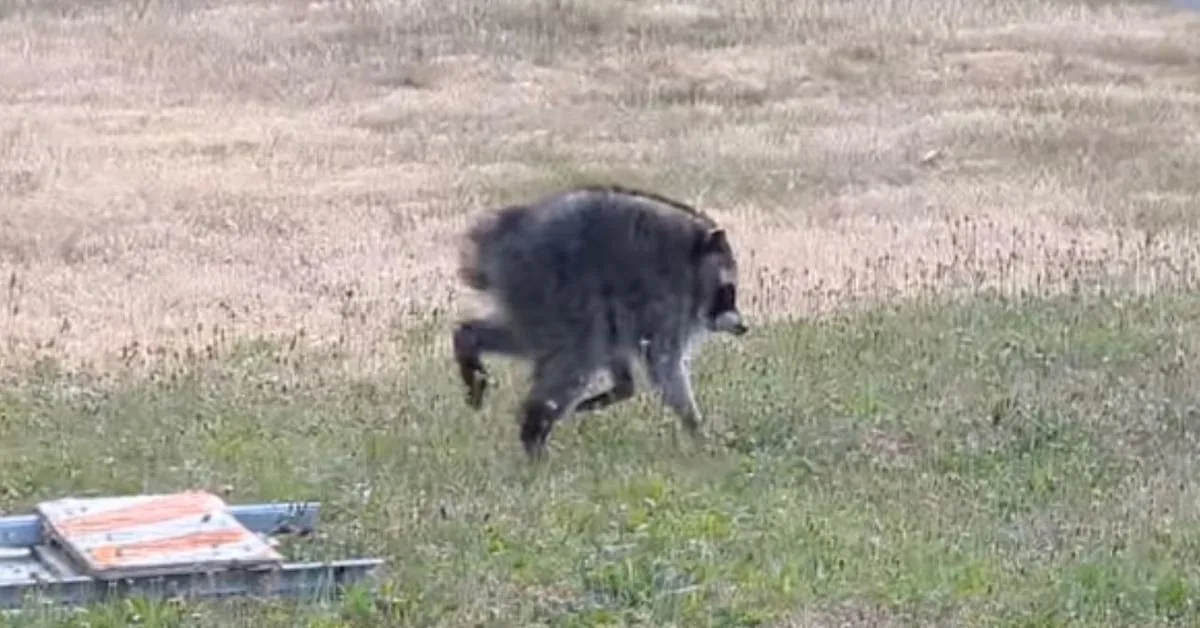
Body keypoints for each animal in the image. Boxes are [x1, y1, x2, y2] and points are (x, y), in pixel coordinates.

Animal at [453, 184, 747, 458]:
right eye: (728, 292)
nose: (742, 326)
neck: (693, 259)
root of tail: (503, 234)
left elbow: (620, 350)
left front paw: (621, 388)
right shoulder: (666, 298)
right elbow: (663, 364)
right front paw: (695, 426)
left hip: (531, 291)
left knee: (539, 339)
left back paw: (468, 339)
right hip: (549, 281)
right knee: (579, 349)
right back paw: (534, 427)